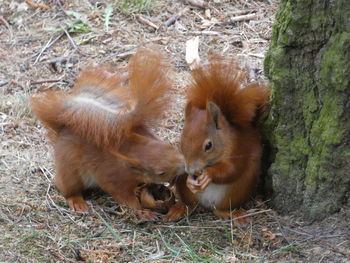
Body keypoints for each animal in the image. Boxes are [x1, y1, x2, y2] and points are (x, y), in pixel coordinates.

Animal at [31, 48, 185, 220]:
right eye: (161, 172)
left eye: (172, 148)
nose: (185, 166)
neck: (131, 149)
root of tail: (62, 130)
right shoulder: (113, 178)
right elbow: (126, 198)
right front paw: (143, 212)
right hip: (69, 170)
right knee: (68, 189)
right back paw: (77, 202)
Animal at [165, 56, 270, 222]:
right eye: (181, 142)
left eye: (208, 145)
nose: (191, 171)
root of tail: (207, 205)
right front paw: (189, 179)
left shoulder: (238, 147)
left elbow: (232, 170)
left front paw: (209, 175)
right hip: (187, 194)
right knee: (190, 204)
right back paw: (180, 209)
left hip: (237, 192)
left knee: (220, 210)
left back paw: (235, 215)